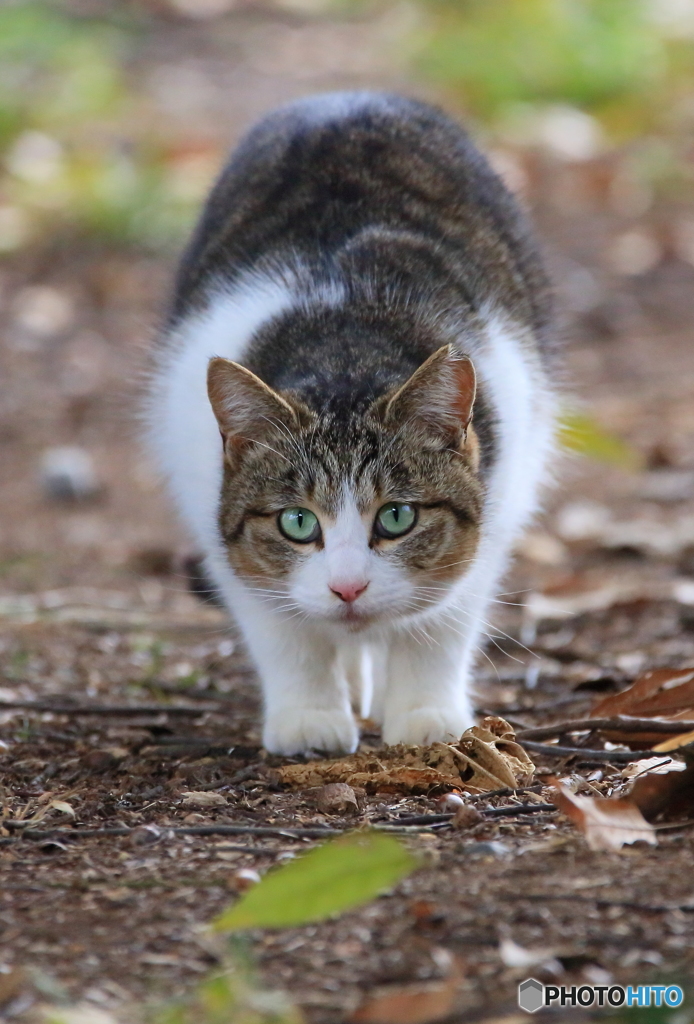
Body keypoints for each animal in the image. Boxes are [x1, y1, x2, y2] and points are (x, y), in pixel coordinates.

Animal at [148, 90, 560, 753]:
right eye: (296, 522)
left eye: (397, 517)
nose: (347, 589)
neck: (346, 348)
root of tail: (344, 96)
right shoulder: (211, 509)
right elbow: (284, 631)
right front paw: (310, 717)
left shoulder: (500, 494)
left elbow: (440, 623)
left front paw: (424, 715)